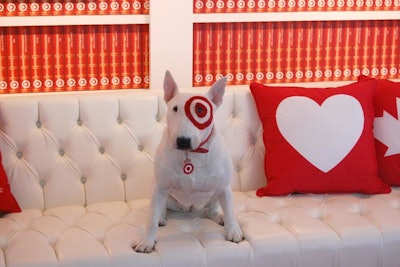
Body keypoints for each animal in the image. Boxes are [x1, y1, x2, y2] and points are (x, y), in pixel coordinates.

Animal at [134, 70, 244, 253]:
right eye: (175, 108)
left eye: (201, 110)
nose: (183, 141)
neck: (191, 154)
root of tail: (190, 209)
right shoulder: (160, 186)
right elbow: (151, 219)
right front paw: (147, 242)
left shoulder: (224, 187)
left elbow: (230, 211)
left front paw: (233, 231)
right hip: (155, 187)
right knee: (159, 209)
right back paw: (161, 218)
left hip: (215, 194)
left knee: (211, 210)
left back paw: (218, 217)